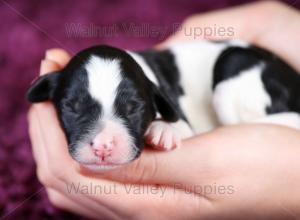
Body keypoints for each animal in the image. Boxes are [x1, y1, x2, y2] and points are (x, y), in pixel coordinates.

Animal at [27, 41, 300, 172]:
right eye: (72, 107)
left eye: (134, 108)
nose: (103, 146)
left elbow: (178, 125)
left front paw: (163, 130)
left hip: (232, 68)